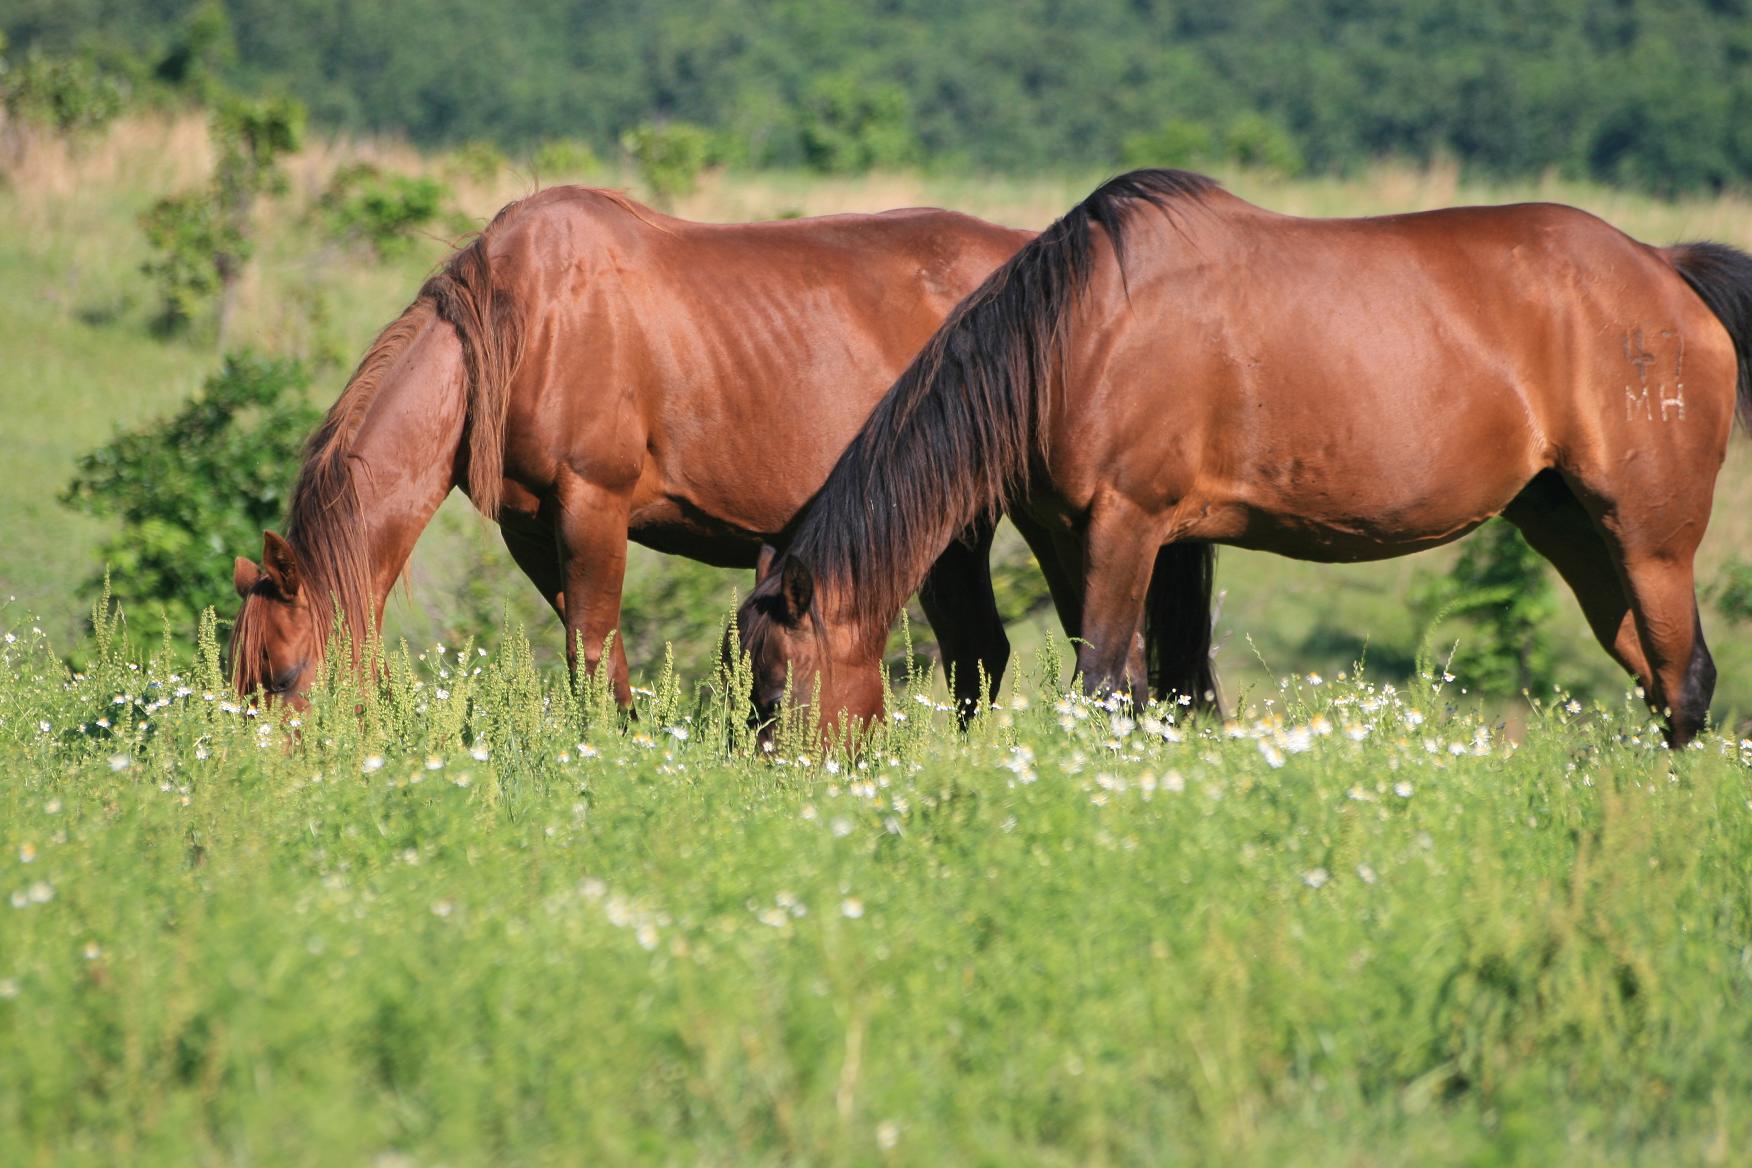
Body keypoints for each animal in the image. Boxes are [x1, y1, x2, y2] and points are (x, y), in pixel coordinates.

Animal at [226, 187, 1030, 714]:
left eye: (284, 677)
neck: (524, 326)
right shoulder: (533, 530)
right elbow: (595, 656)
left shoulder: (593, 505)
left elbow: (589, 655)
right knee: (975, 656)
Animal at [739, 168, 1752, 745]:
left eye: (780, 687)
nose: (769, 781)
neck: (1084, 332)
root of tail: (1664, 267)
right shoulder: (1075, 537)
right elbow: (1139, 691)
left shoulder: (1129, 527)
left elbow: (1103, 690)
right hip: (1572, 528)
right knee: (1655, 676)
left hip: (1651, 539)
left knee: (1687, 682)